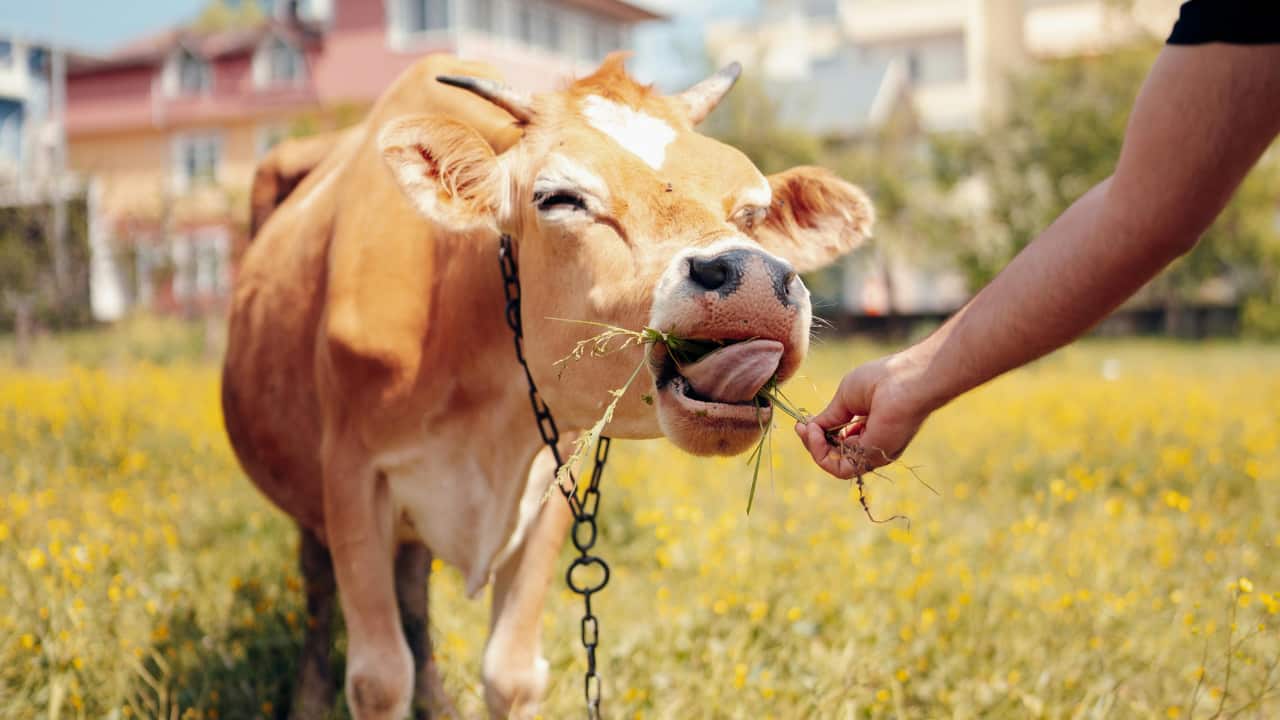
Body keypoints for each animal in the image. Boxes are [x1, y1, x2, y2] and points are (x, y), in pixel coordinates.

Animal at [222, 52, 873, 720]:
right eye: (559, 198)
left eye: (752, 213)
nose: (751, 278)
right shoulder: (351, 476)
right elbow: (379, 679)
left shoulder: (552, 477)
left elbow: (510, 674)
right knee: (318, 580)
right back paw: (309, 698)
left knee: (413, 585)